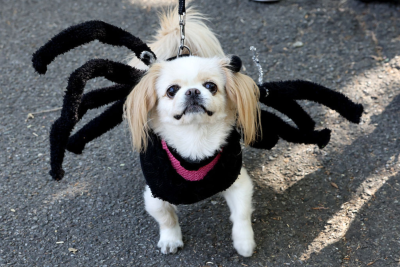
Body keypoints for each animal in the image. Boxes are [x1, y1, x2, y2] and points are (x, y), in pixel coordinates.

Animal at [125, 6, 260, 258]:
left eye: (211, 86)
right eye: (171, 90)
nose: (193, 92)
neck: (195, 138)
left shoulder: (237, 183)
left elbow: (241, 215)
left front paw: (244, 243)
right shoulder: (155, 194)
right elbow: (166, 218)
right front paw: (170, 240)